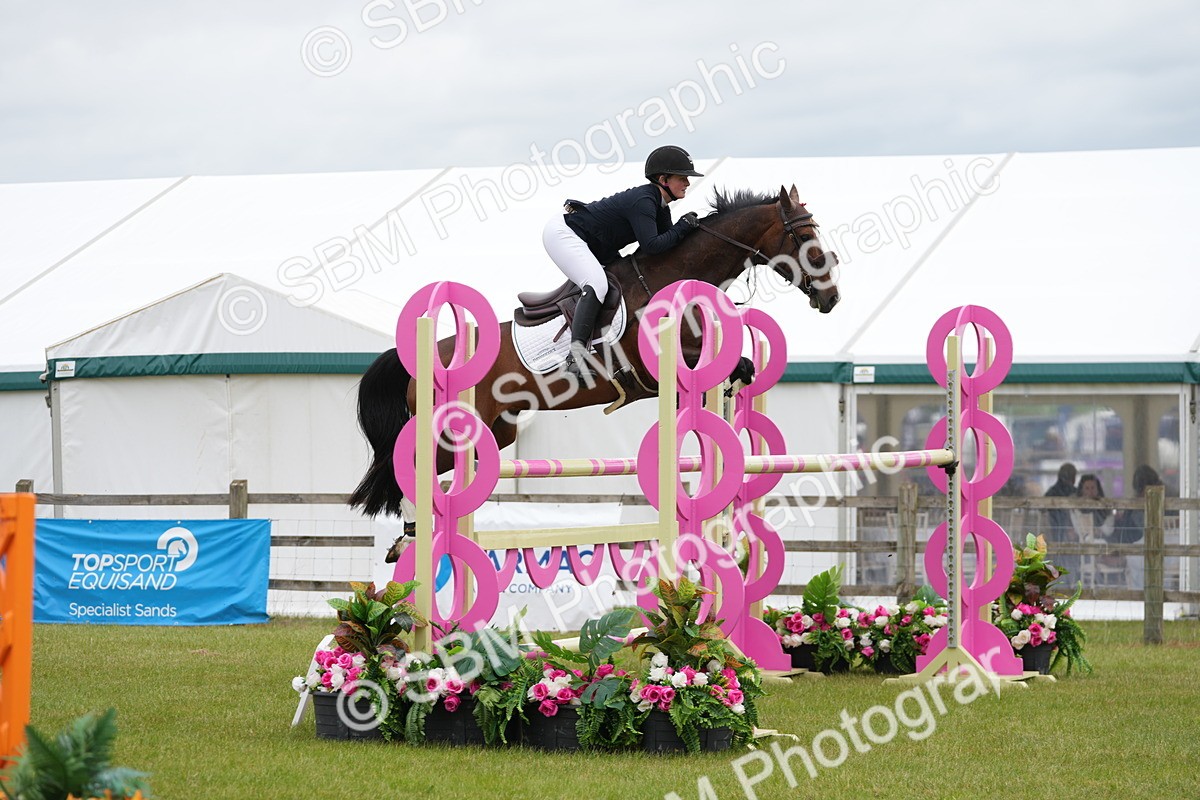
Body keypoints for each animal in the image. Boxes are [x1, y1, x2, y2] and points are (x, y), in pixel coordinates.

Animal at [350, 184, 841, 548]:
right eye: (805, 238)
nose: (832, 297)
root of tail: (423, 356)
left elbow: (740, 371)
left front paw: (725, 409)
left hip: (494, 433)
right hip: (453, 426)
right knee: (409, 463)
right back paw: (411, 534)